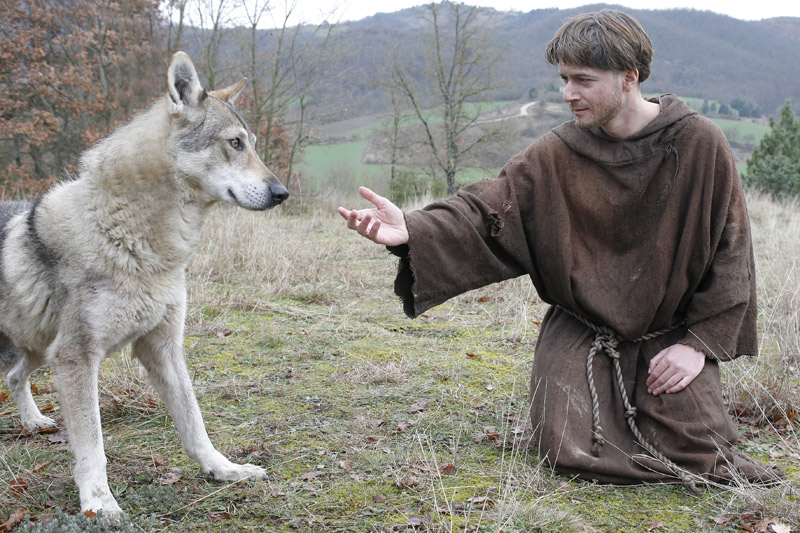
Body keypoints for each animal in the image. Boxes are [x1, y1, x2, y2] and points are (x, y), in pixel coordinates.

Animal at [0, 52, 288, 516]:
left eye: (254, 144)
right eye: (235, 143)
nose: (282, 192)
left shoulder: (162, 347)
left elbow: (194, 422)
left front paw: (224, 470)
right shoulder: (77, 358)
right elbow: (92, 444)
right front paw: (98, 503)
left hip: (39, 349)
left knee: (13, 376)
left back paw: (33, 421)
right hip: (44, 351)